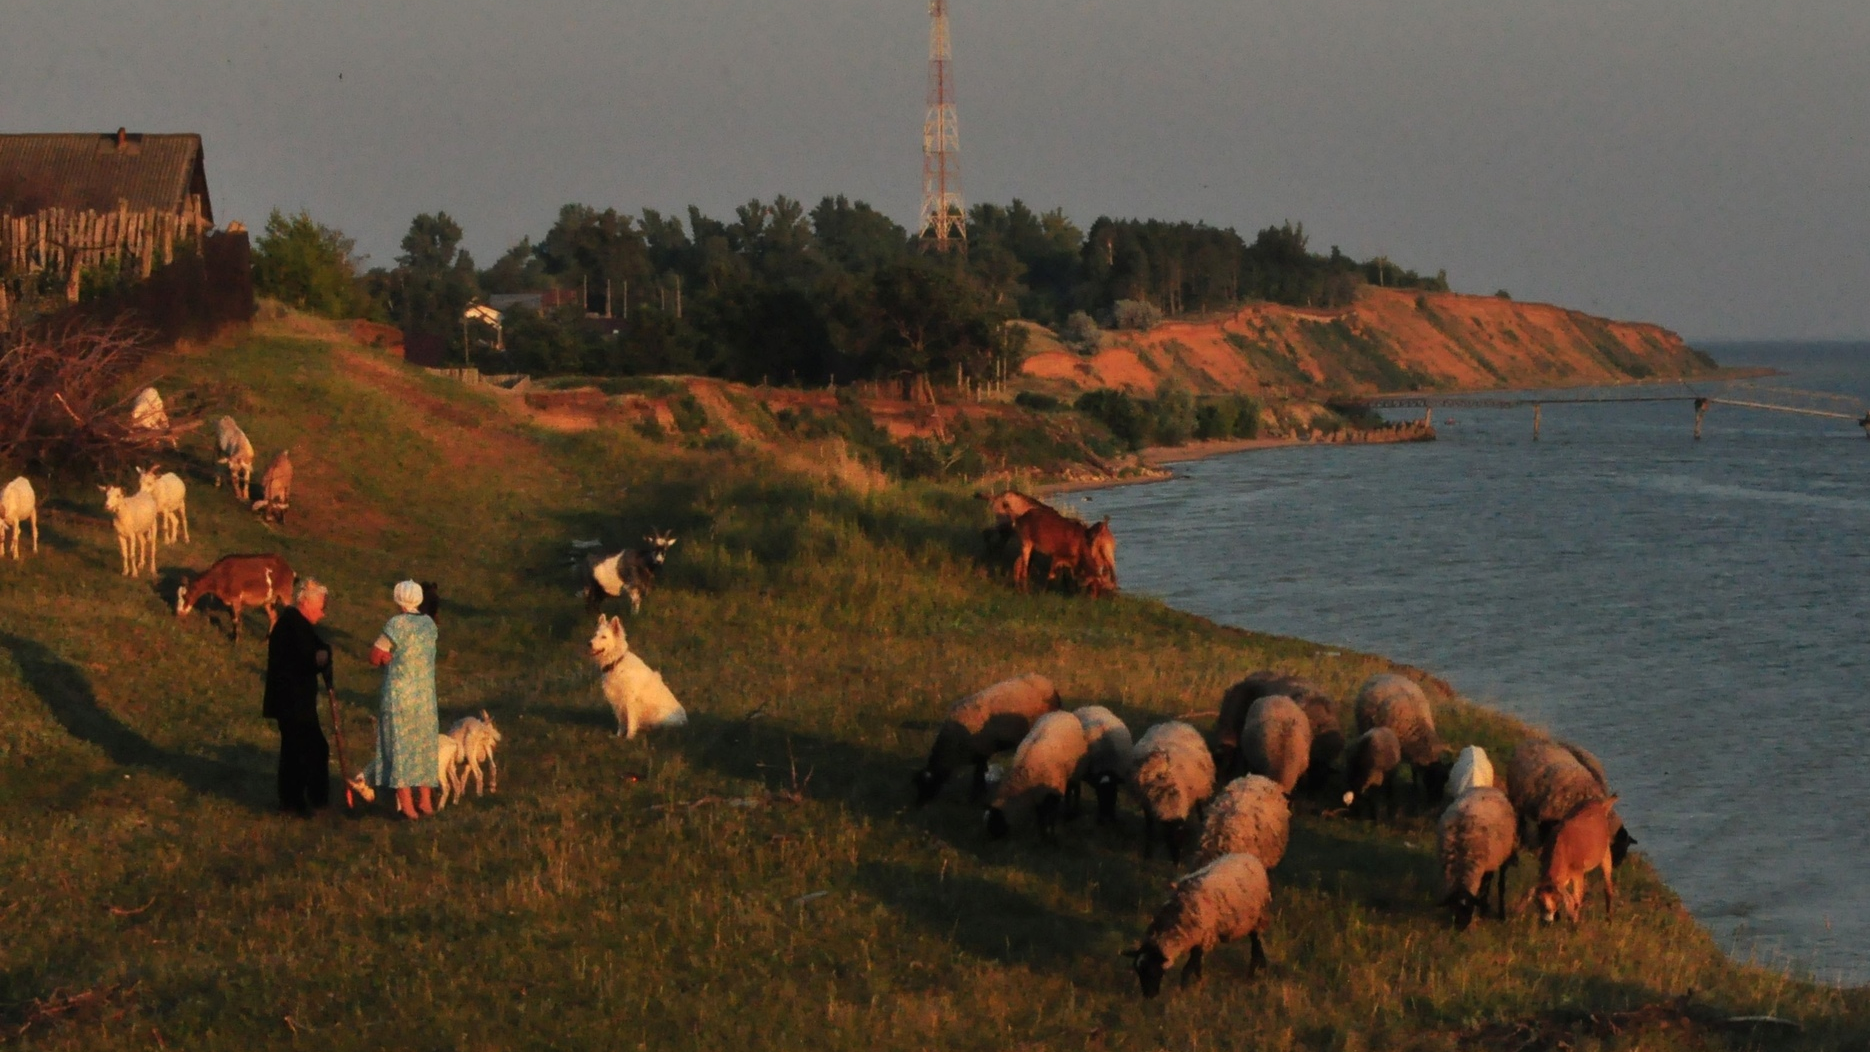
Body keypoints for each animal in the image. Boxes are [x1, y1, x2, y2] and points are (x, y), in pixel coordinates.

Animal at [912, 676, 1062, 807]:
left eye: (927, 785)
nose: (918, 806)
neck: (953, 745)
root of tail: (1049, 684)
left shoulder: (982, 751)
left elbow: (978, 775)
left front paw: (975, 796)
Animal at [987, 706, 1092, 840]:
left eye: (995, 822)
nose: (992, 839)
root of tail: (1062, 712)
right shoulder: (1039, 796)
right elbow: (1041, 816)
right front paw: (1042, 835)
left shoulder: (1052, 793)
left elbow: (1051, 816)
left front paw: (1050, 835)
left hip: (1077, 769)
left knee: (1075, 790)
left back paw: (1073, 812)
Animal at [1114, 852, 1279, 1001]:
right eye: (1138, 972)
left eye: (1153, 971)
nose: (1149, 996)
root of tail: (1250, 857)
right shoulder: (1195, 940)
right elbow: (1196, 967)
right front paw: (1196, 985)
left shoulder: (1204, 939)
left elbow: (1190, 968)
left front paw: (1186, 989)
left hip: (1258, 919)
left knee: (1256, 946)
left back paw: (1253, 974)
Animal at [1443, 781, 1518, 930]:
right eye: (1454, 907)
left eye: (1469, 908)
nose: (1460, 928)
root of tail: (1487, 788)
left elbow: (1484, 888)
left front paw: (1482, 911)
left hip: (1502, 855)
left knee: (1500, 884)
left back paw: (1501, 914)